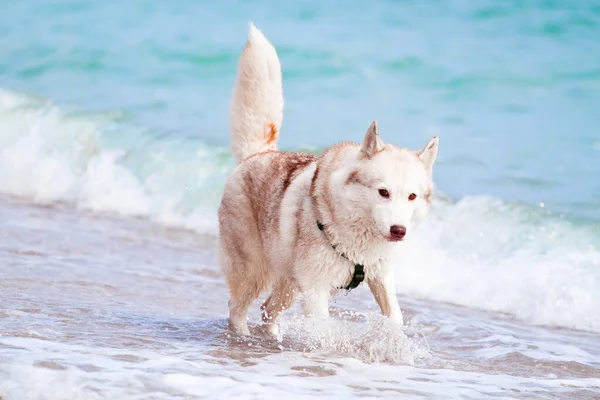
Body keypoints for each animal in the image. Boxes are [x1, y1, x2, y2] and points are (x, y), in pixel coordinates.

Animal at [218, 23, 438, 336]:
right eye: (383, 192)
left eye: (412, 196)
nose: (399, 231)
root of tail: (259, 154)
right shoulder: (315, 288)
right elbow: (325, 331)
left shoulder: (381, 276)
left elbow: (395, 317)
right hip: (254, 271)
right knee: (238, 309)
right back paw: (242, 338)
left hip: (289, 284)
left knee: (267, 309)